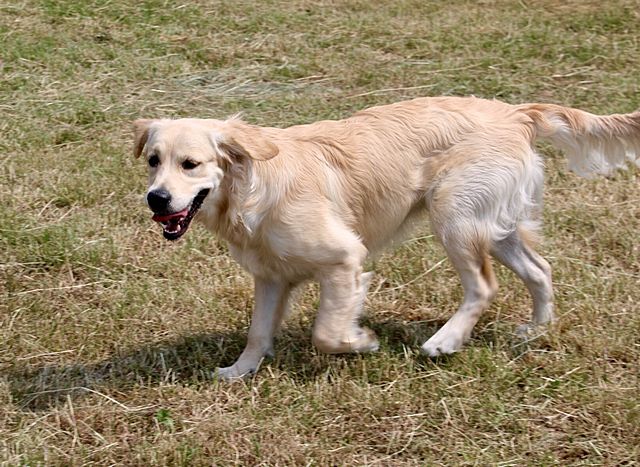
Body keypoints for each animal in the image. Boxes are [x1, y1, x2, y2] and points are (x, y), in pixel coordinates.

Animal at [133, 96, 639, 379]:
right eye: (153, 160)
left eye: (191, 164)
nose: (156, 199)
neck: (253, 186)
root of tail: (517, 112)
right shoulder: (272, 276)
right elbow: (258, 332)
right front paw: (239, 371)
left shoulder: (343, 258)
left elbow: (325, 332)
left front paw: (361, 341)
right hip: (494, 225)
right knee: (540, 269)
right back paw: (536, 331)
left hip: (454, 216)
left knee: (483, 286)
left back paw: (445, 341)